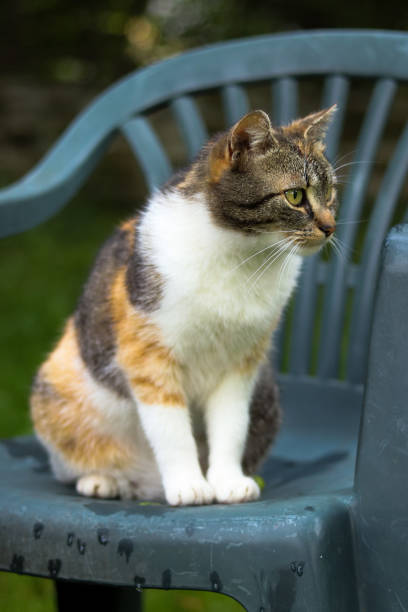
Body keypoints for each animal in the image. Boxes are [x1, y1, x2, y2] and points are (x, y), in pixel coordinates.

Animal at [30, 106, 338, 506]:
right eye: (295, 195)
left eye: (331, 193)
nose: (331, 227)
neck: (243, 258)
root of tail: (147, 486)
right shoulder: (148, 354)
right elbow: (171, 431)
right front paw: (189, 485)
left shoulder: (242, 363)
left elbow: (231, 425)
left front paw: (227, 482)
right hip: (56, 386)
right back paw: (104, 481)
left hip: (267, 392)